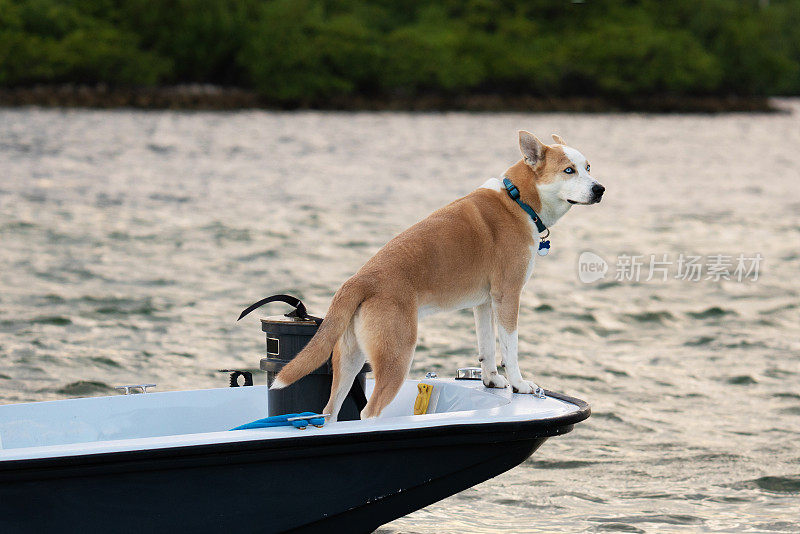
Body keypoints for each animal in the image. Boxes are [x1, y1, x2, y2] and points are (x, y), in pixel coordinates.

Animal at [276, 131, 608, 422]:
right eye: (569, 170)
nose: (600, 189)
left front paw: (491, 380)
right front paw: (519, 384)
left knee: (330, 413)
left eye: (588, 168)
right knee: (370, 413)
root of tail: (359, 281)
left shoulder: (484, 303)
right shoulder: (508, 295)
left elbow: (487, 347)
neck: (517, 200)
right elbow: (509, 348)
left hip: (349, 359)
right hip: (397, 356)